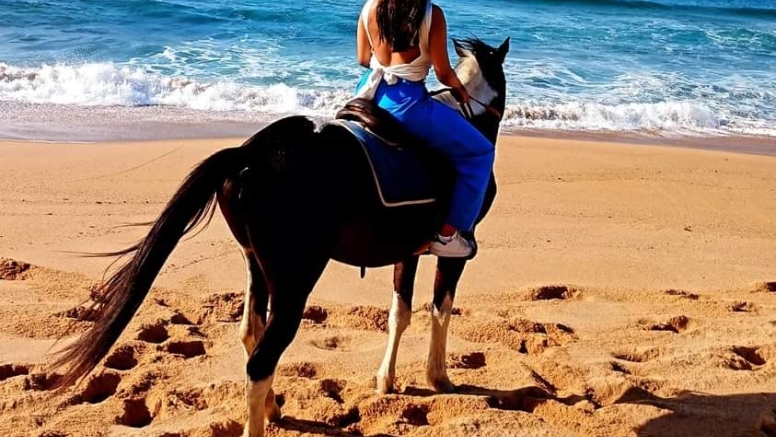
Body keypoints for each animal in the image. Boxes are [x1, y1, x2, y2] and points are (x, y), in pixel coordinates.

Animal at [49, 36, 510, 437]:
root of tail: (250, 152)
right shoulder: (452, 253)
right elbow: (440, 310)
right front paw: (438, 375)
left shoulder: (408, 250)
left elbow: (400, 313)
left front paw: (387, 379)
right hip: (295, 279)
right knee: (262, 358)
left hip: (256, 263)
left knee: (251, 334)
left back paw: (272, 406)